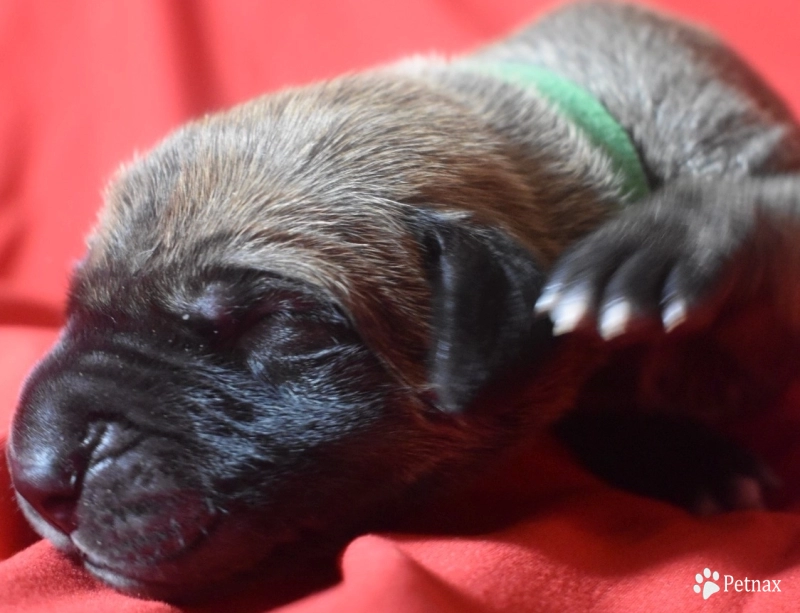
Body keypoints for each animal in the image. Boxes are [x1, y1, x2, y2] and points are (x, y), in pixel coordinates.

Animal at [6, 0, 800, 600]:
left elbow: (761, 205)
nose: (35, 479)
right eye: (76, 306)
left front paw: (662, 243)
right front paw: (681, 453)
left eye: (276, 322)